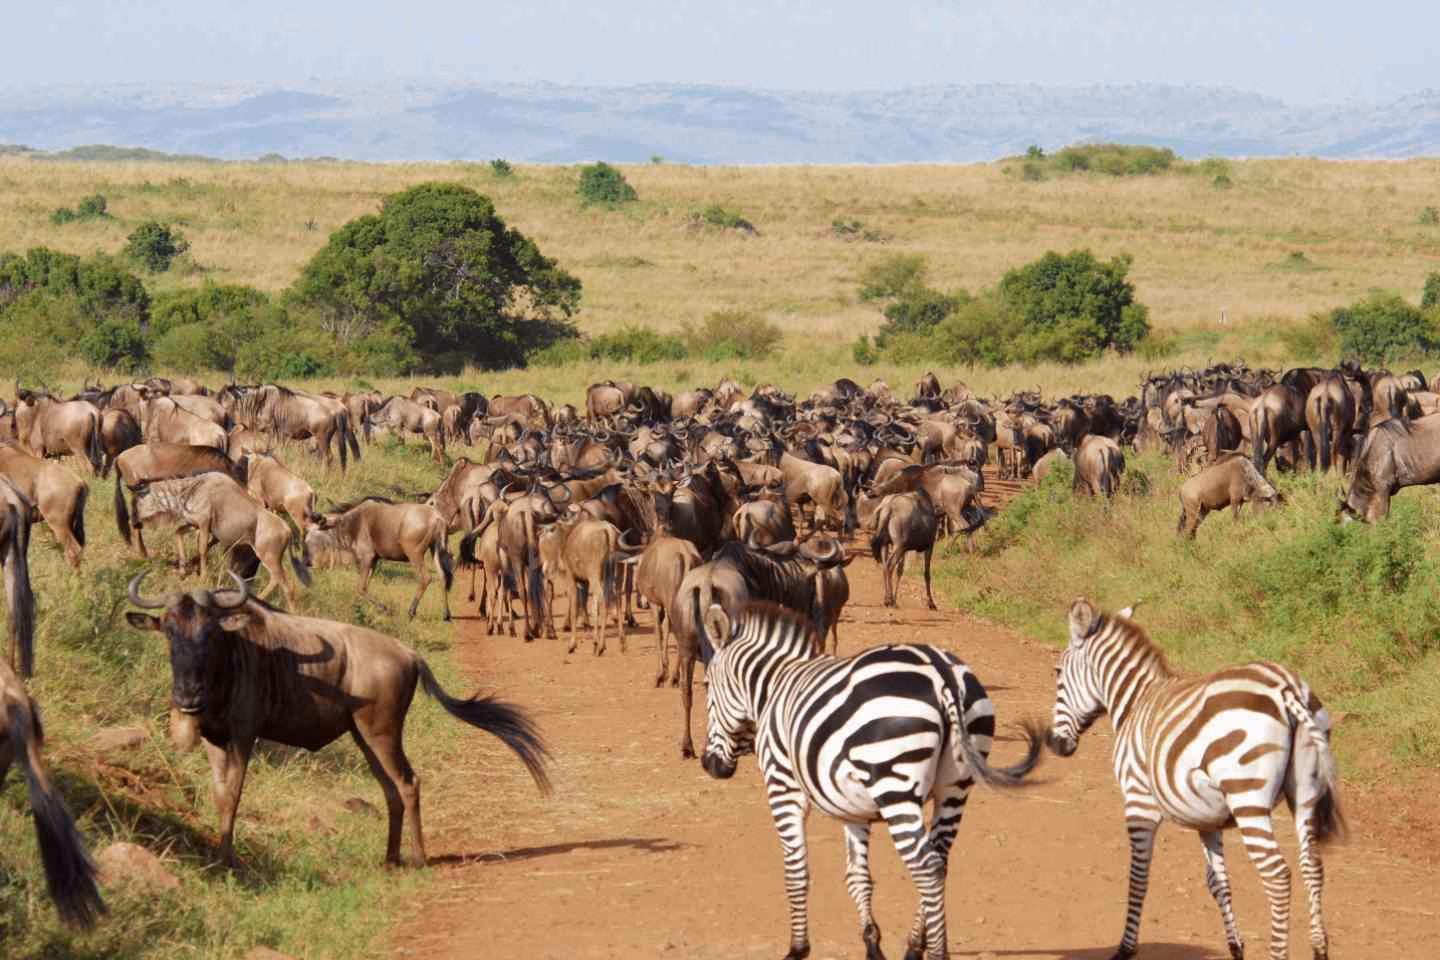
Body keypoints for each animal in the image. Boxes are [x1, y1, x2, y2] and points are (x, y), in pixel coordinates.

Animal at [698, 601, 1043, 960]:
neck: (774, 689)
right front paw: (872, 943)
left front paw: (797, 948)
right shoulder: (853, 808)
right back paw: (914, 945)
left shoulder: (783, 785)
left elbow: (795, 870)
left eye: (706, 684)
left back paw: (934, 952)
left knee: (926, 868)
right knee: (940, 860)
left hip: (895, 786)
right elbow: (857, 876)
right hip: (955, 788)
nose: (709, 765)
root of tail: (941, 673)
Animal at [1047, 598, 1346, 960]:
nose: (1054, 744)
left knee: (1277, 875)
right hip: (1305, 793)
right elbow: (1218, 882)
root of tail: (1285, 686)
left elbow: (1138, 877)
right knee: (1312, 866)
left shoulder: (1138, 802)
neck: (1134, 702)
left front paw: (1125, 948)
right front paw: (1236, 947)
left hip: (1247, 797)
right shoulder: (1209, 819)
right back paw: (1319, 948)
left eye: (1058, 673)